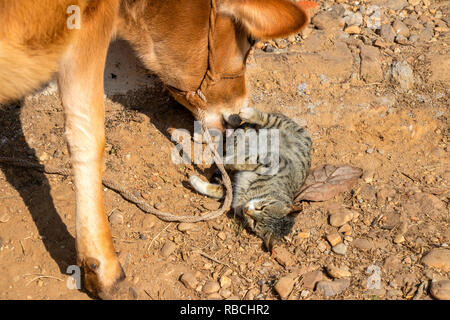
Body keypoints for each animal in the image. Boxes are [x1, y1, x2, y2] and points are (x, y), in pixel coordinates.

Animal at [188, 107, 312, 250]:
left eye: (255, 222)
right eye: (262, 207)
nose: (247, 209)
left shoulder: (235, 193)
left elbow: (222, 190)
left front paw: (196, 182)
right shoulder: (275, 161)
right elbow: (248, 160)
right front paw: (227, 161)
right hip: (284, 126)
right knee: (268, 118)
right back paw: (248, 115)